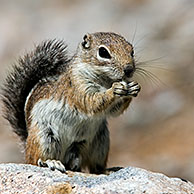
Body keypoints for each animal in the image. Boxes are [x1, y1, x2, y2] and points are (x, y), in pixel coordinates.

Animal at [1, 31, 141, 174]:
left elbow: (114, 111)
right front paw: (114, 90)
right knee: (35, 160)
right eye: (103, 52)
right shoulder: (78, 86)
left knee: (93, 167)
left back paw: (104, 170)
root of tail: (27, 144)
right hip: (43, 137)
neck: (105, 80)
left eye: (132, 50)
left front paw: (133, 87)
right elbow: (91, 102)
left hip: (100, 143)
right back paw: (50, 162)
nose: (129, 69)